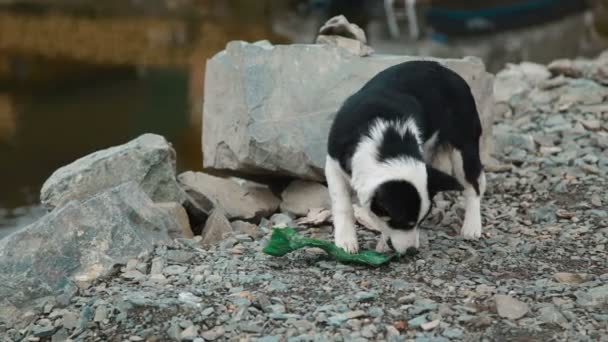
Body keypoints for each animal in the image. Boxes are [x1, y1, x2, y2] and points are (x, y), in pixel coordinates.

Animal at [326, 60, 486, 255]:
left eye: (419, 222)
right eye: (403, 223)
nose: (412, 251)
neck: (388, 140)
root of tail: (444, 68)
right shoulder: (333, 163)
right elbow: (342, 204)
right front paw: (346, 240)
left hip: (464, 146)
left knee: (473, 186)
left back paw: (472, 226)